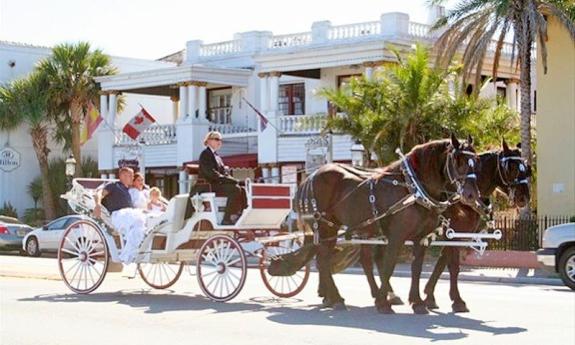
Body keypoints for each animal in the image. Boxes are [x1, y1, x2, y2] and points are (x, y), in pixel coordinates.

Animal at [288, 134, 482, 312]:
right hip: (325, 227)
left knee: (328, 259)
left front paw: (417, 302)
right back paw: (336, 298)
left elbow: (416, 268)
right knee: (323, 260)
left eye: (476, 161)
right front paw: (383, 302)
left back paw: (333, 297)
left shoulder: (421, 238)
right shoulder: (397, 236)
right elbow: (389, 265)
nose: (471, 195)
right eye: (458, 161)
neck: (412, 189)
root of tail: (311, 176)